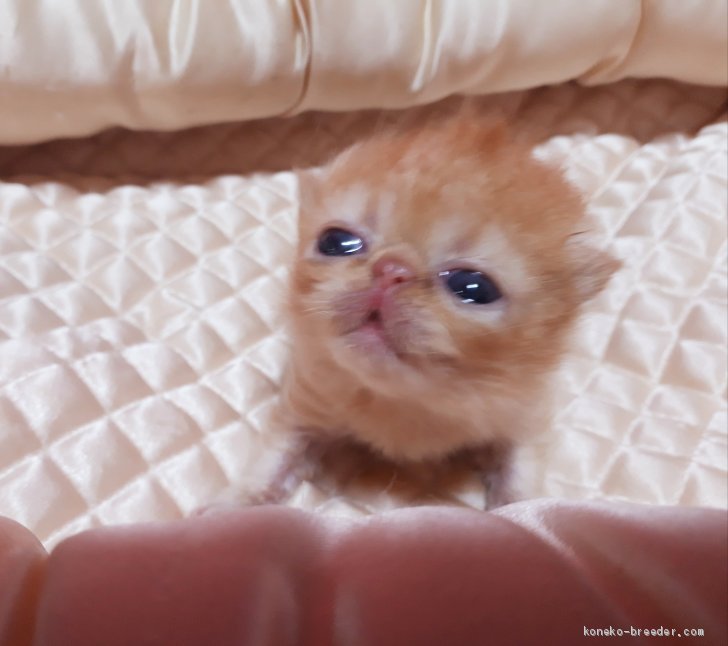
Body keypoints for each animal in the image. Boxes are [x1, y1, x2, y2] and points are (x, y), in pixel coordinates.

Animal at [258, 116, 616, 512]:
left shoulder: (524, 418)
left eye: (473, 288)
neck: (402, 400)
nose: (392, 269)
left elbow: (519, 488)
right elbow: (269, 468)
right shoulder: (305, 402)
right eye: (336, 242)